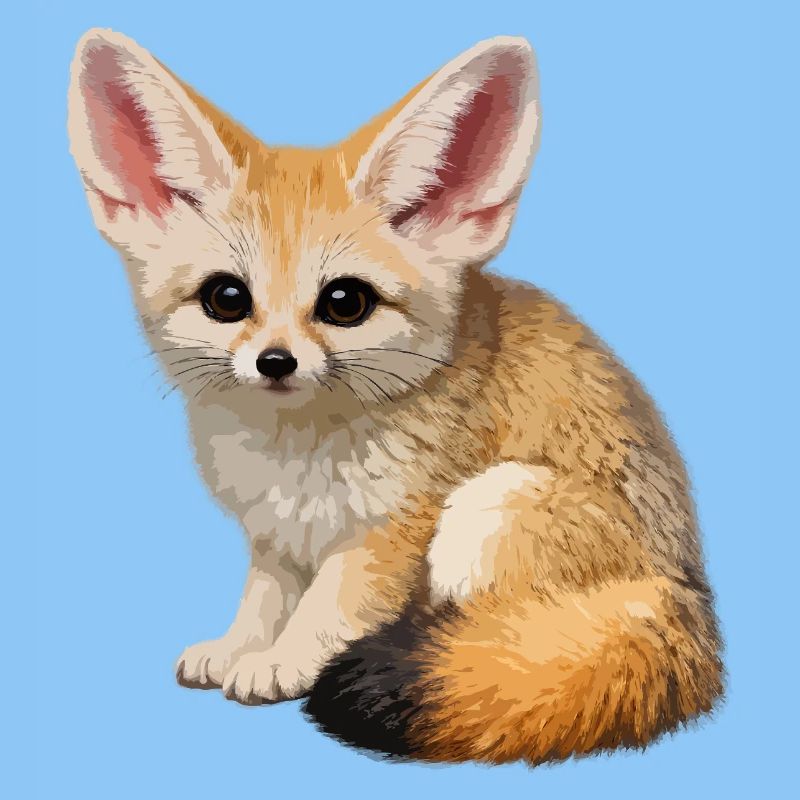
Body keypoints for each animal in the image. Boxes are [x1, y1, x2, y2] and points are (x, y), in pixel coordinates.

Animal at [67, 28, 723, 765]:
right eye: (226, 298)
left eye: (344, 302)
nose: (275, 362)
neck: (294, 454)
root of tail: (688, 595)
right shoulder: (274, 537)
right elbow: (265, 599)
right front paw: (240, 646)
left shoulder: (390, 533)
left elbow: (329, 608)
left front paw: (283, 660)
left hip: (488, 507)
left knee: (491, 636)